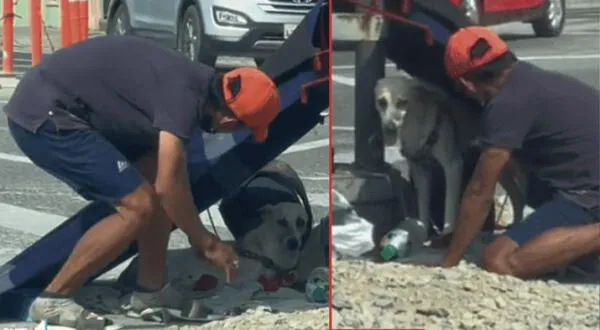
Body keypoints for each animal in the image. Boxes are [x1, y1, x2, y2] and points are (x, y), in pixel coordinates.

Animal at [378, 73, 528, 242]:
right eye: (381, 102)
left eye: (402, 102)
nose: (389, 127)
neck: (415, 124)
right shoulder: (420, 170)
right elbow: (423, 206)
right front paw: (423, 234)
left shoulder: (453, 166)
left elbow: (449, 205)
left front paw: (447, 234)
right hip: (500, 168)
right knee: (517, 197)